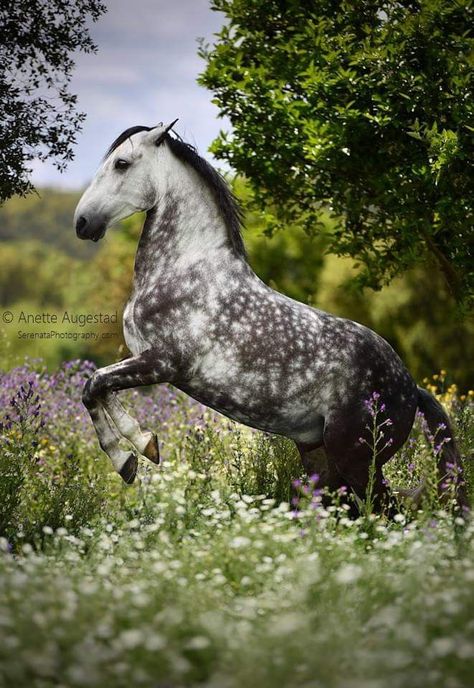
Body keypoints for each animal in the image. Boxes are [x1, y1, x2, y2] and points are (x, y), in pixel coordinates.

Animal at [73, 121, 466, 512]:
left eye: (121, 163)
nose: (82, 223)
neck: (183, 270)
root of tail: (411, 388)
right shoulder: (145, 362)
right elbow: (96, 388)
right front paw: (136, 454)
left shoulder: (161, 364)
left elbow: (95, 383)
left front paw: (137, 451)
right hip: (322, 461)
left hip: (357, 461)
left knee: (388, 513)